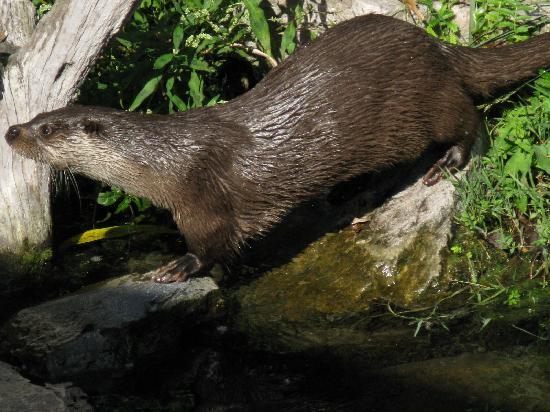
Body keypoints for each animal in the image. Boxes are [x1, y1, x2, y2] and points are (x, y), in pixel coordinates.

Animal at [4, 14, 550, 282]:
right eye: (35, 117)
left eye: (48, 130)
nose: (12, 131)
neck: (163, 161)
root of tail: (437, 44)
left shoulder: (201, 199)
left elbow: (213, 244)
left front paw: (178, 266)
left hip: (428, 94)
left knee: (468, 119)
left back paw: (446, 164)